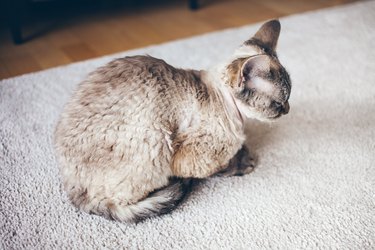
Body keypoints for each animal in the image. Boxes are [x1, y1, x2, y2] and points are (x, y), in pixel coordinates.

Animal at [54, 19, 292, 223]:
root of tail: (72, 188)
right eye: (279, 103)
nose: (288, 109)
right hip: (156, 139)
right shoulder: (191, 158)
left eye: (287, 99)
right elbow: (224, 164)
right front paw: (244, 162)